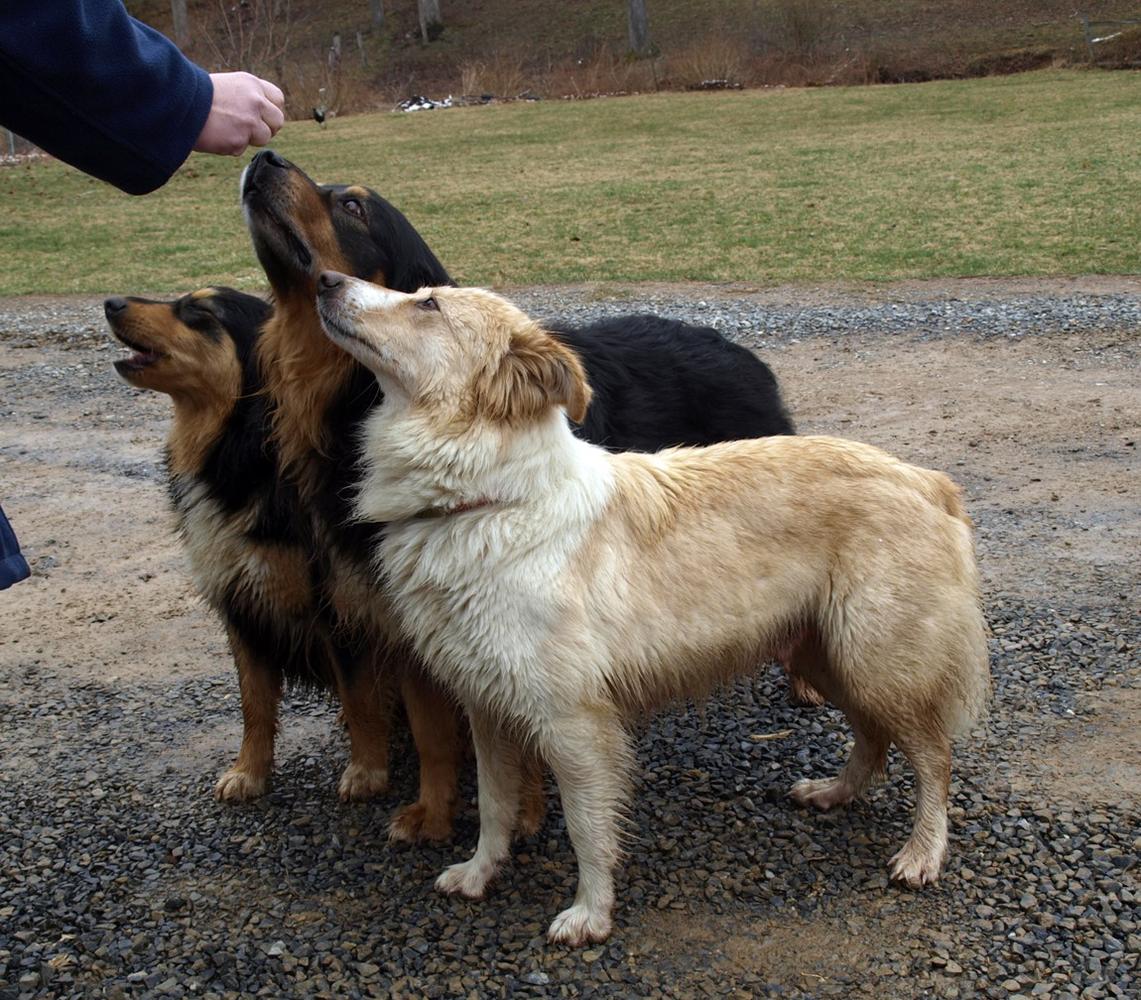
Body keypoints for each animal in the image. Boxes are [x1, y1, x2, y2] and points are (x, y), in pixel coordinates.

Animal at [107, 291, 392, 803]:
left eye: (199, 312)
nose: (111, 302)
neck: (239, 448)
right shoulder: (239, 603)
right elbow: (254, 703)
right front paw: (249, 771)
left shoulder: (338, 602)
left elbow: (359, 696)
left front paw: (366, 772)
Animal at [237, 151, 798, 840]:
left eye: (353, 206)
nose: (263, 156)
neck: (346, 406)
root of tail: (740, 347)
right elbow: (435, 727)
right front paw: (433, 805)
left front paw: (510, 811)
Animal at [312, 273, 990, 945]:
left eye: (428, 305)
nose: (324, 279)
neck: (487, 500)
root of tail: (926, 479)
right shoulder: (487, 707)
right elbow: (494, 807)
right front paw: (480, 873)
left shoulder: (574, 721)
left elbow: (587, 827)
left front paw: (590, 913)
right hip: (829, 657)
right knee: (873, 738)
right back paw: (835, 792)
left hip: (878, 661)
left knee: (934, 758)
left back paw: (923, 853)